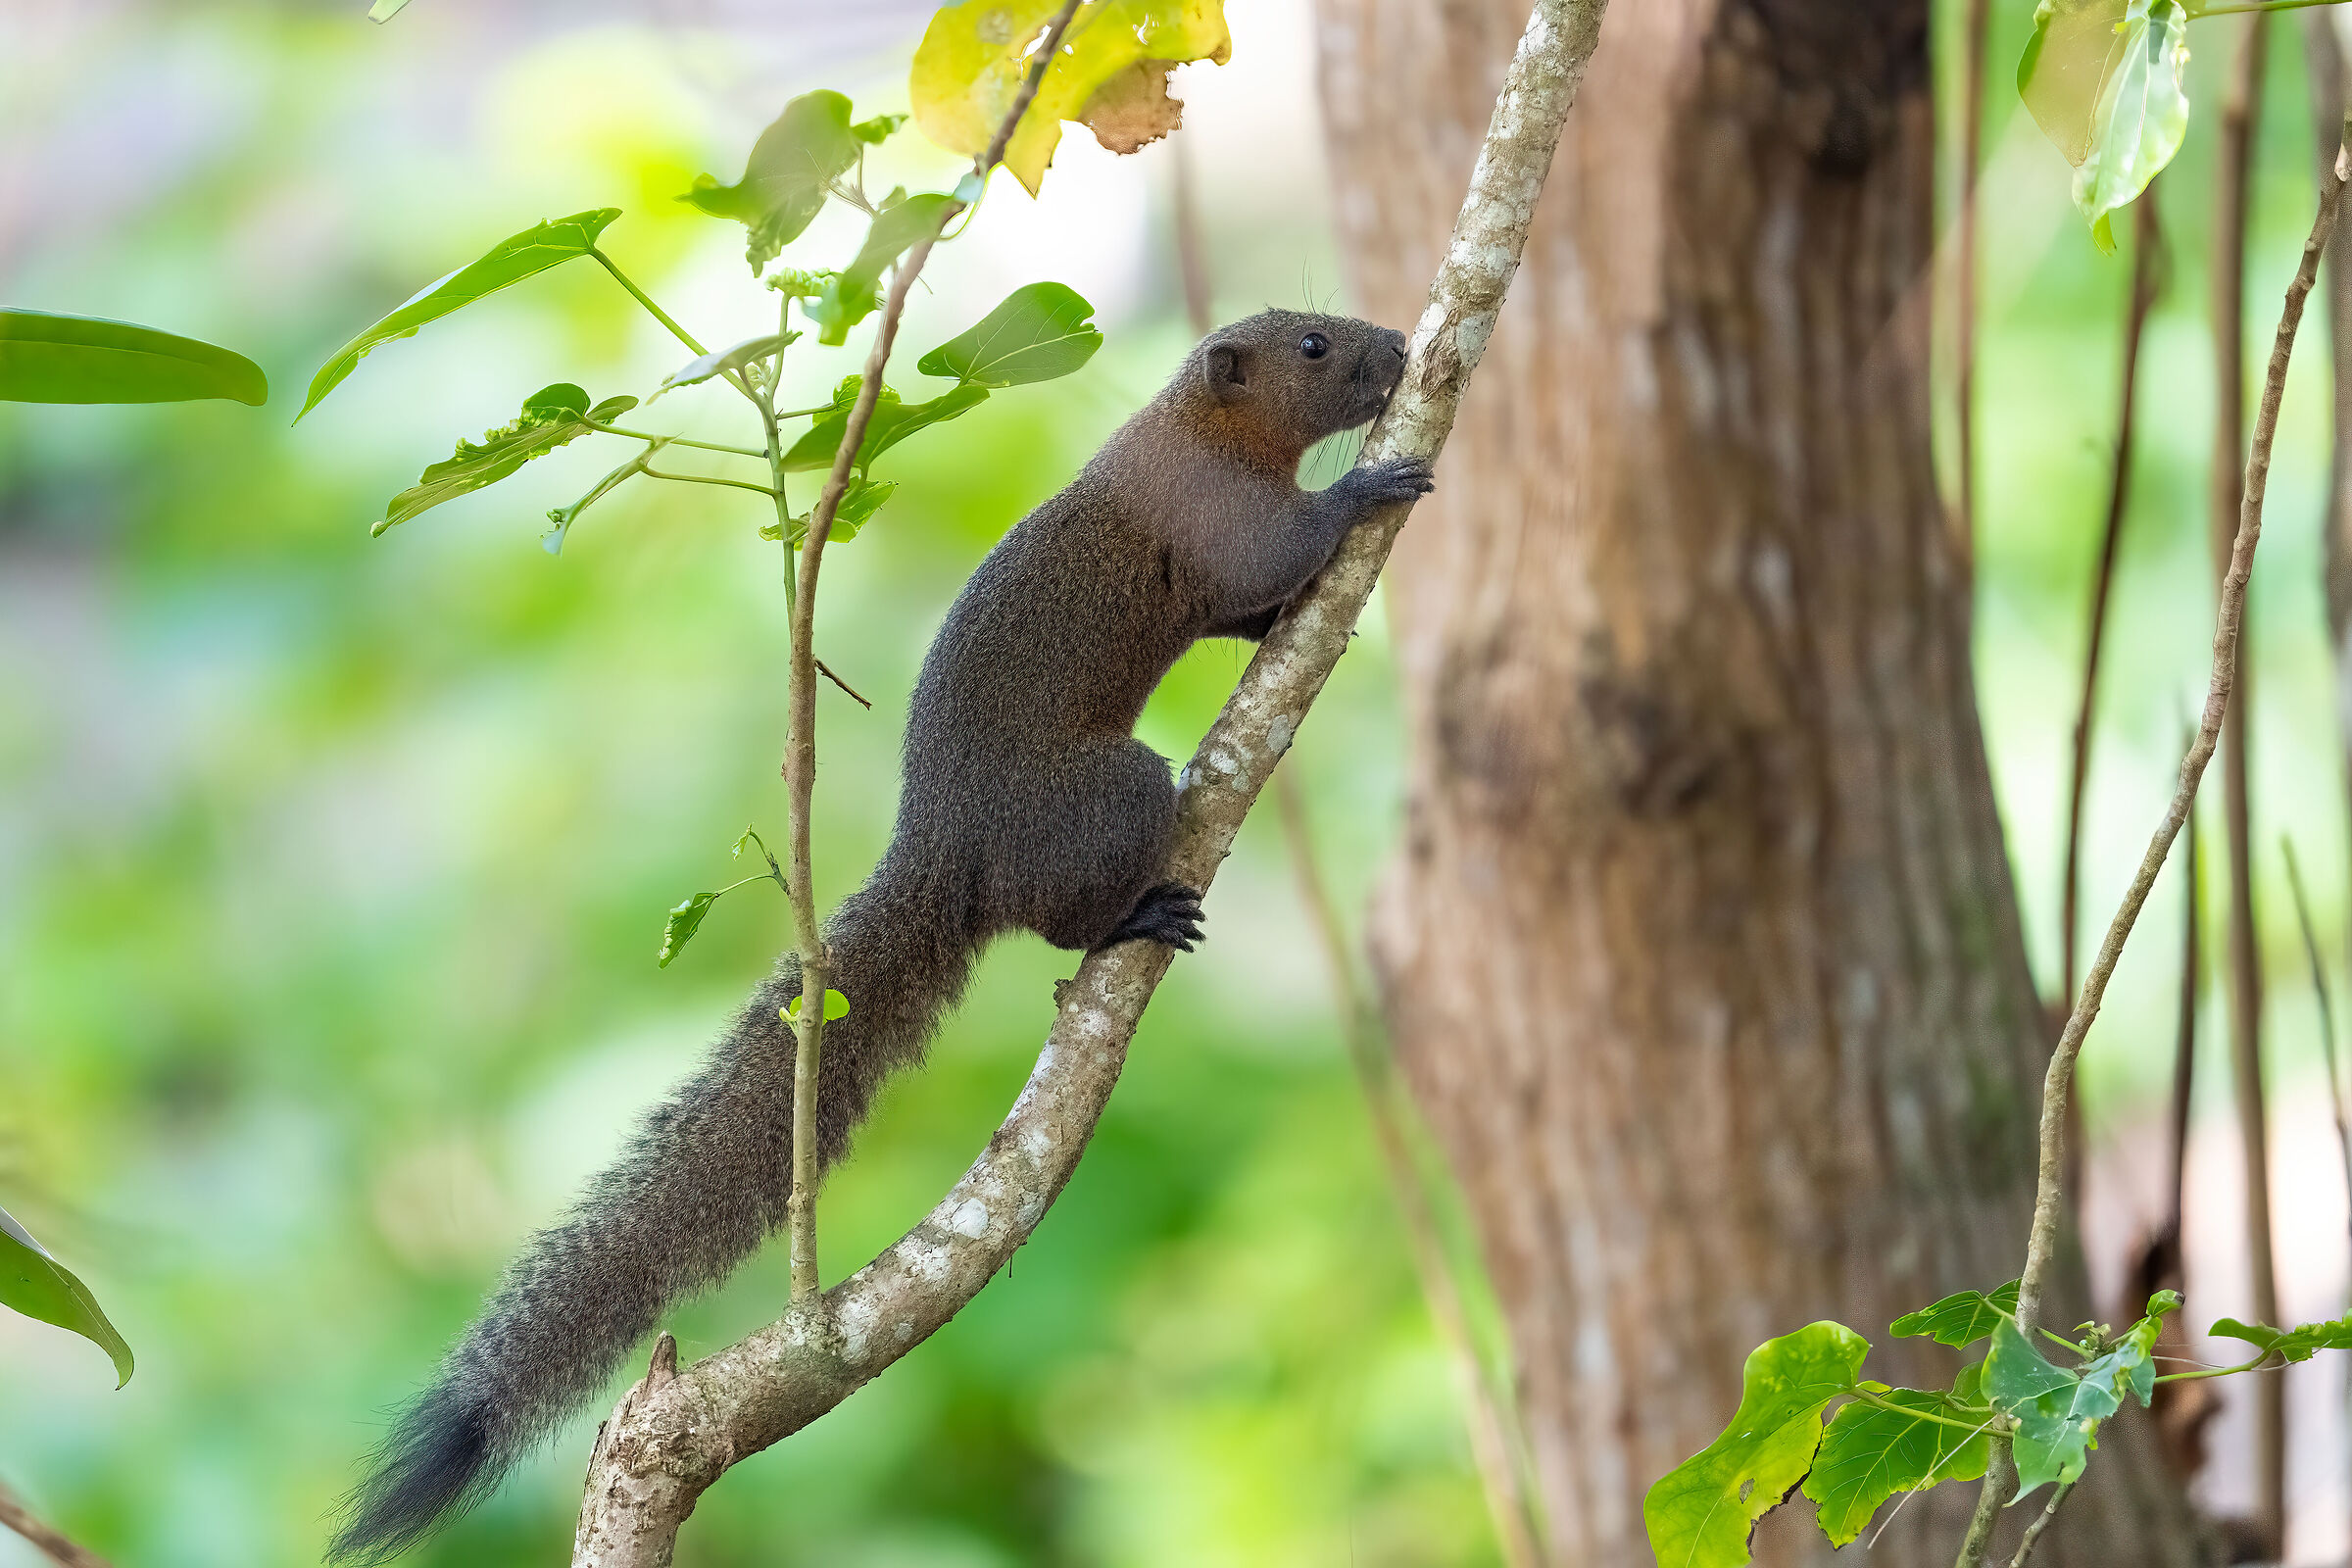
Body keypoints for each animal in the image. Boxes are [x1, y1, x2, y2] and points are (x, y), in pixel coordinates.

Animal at [329, 309, 1430, 1563]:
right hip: (1119, 789)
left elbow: (1261, 613)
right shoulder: (1221, 521)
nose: (1397, 343)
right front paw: (1372, 485)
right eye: (1314, 344)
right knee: (1064, 920)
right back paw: (1143, 913)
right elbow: (1282, 554)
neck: (1203, 430)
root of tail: (939, 849)